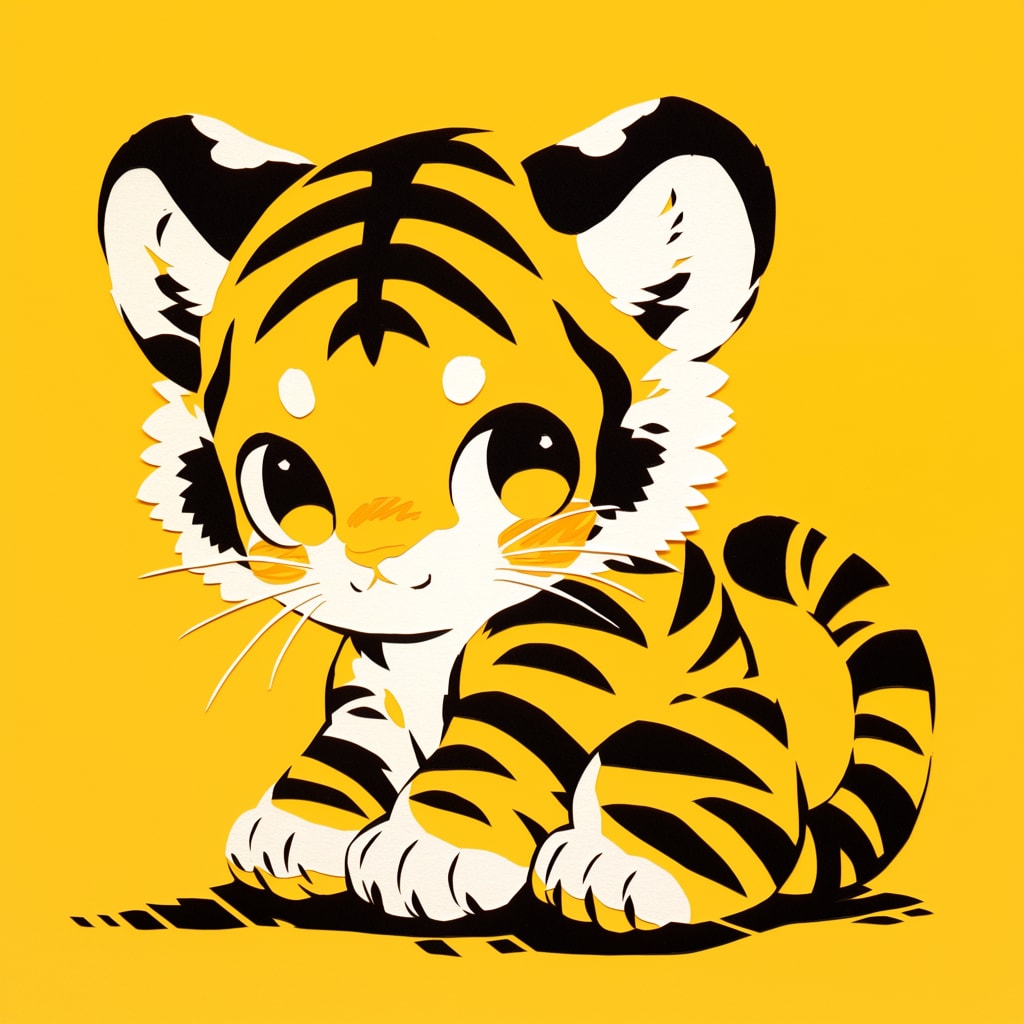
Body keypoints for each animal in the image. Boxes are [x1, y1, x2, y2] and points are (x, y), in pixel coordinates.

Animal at [98, 98, 934, 931]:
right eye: (280, 472)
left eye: (523, 448)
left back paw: (609, 872)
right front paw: (295, 826)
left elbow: (495, 738)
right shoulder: (371, 681)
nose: (380, 560)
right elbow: (346, 749)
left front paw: (425, 850)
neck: (429, 642)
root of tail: (802, 826)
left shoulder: (573, 641)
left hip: (691, 736)